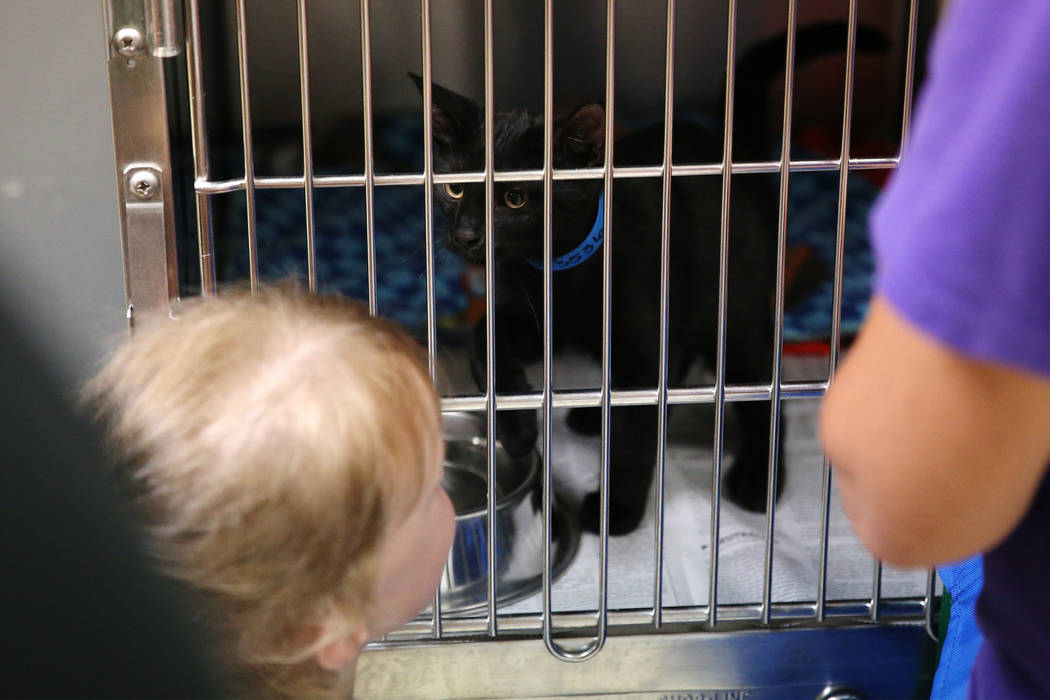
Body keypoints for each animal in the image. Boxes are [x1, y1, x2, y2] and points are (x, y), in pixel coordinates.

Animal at [415, 23, 886, 537]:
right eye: (454, 189)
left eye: (515, 199)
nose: (465, 235)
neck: (562, 272)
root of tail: (734, 150)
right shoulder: (529, 318)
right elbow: (483, 341)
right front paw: (517, 429)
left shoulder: (643, 347)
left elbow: (635, 435)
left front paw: (615, 511)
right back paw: (595, 416)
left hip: (737, 314)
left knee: (762, 391)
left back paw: (757, 480)